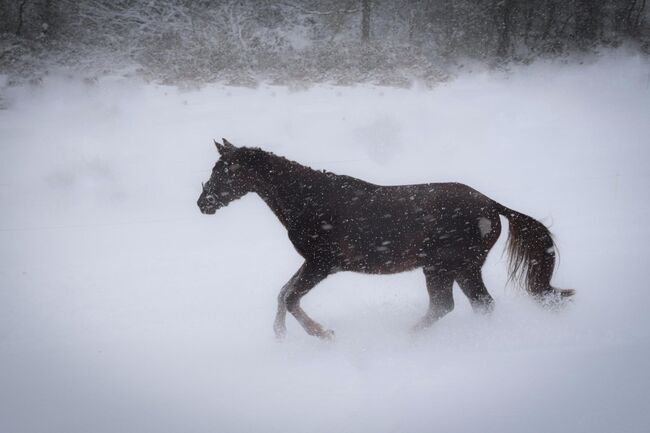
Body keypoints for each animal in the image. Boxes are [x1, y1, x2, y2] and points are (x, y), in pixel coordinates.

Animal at [197, 139, 573, 340]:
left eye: (225, 171)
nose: (203, 203)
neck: (310, 199)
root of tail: (491, 205)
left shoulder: (323, 264)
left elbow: (291, 297)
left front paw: (323, 334)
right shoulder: (314, 264)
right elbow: (282, 293)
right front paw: (279, 334)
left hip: (451, 266)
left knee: (459, 305)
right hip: (451, 268)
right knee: (466, 306)